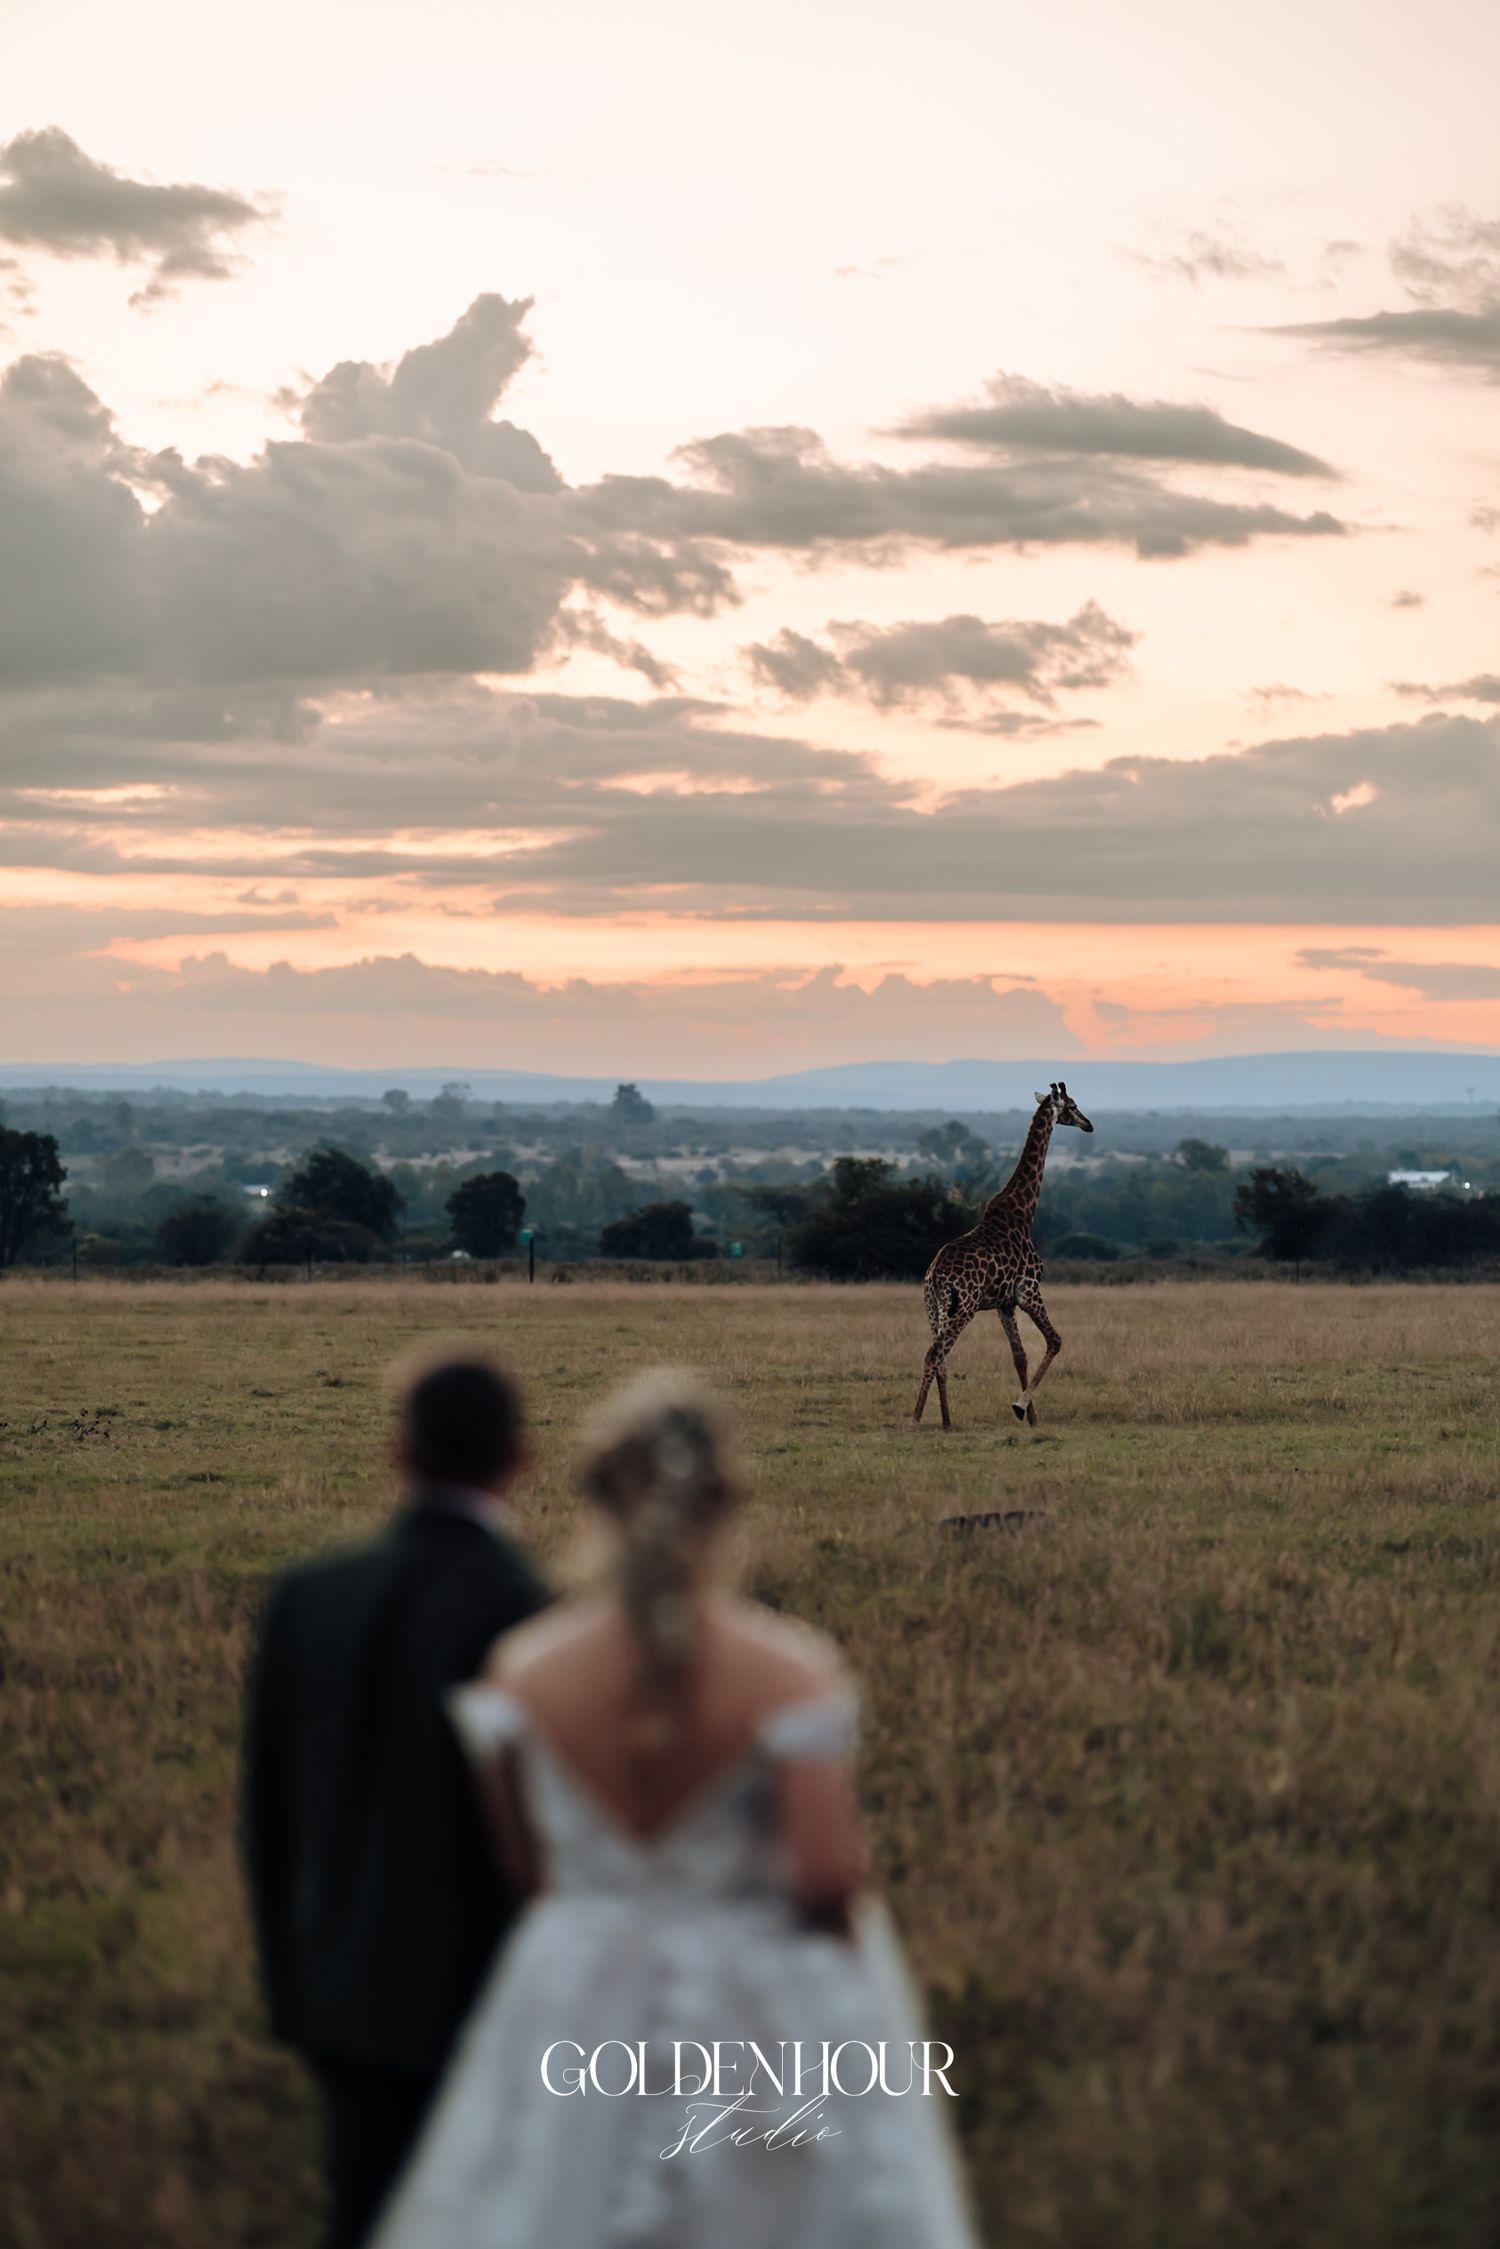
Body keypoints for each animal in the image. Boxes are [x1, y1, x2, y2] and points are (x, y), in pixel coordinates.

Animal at [910, 1082, 1093, 1431]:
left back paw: (946, 1421)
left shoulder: (1004, 1303)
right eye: (1073, 1105)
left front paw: (1031, 1418)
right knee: (933, 1354)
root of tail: (935, 1277)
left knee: (940, 1357)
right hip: (963, 1307)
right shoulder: (1030, 1290)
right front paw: (1021, 1407)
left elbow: (1019, 1356)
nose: (1089, 1124)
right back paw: (915, 1419)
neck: (1024, 1211)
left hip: (933, 1308)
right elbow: (1055, 1341)